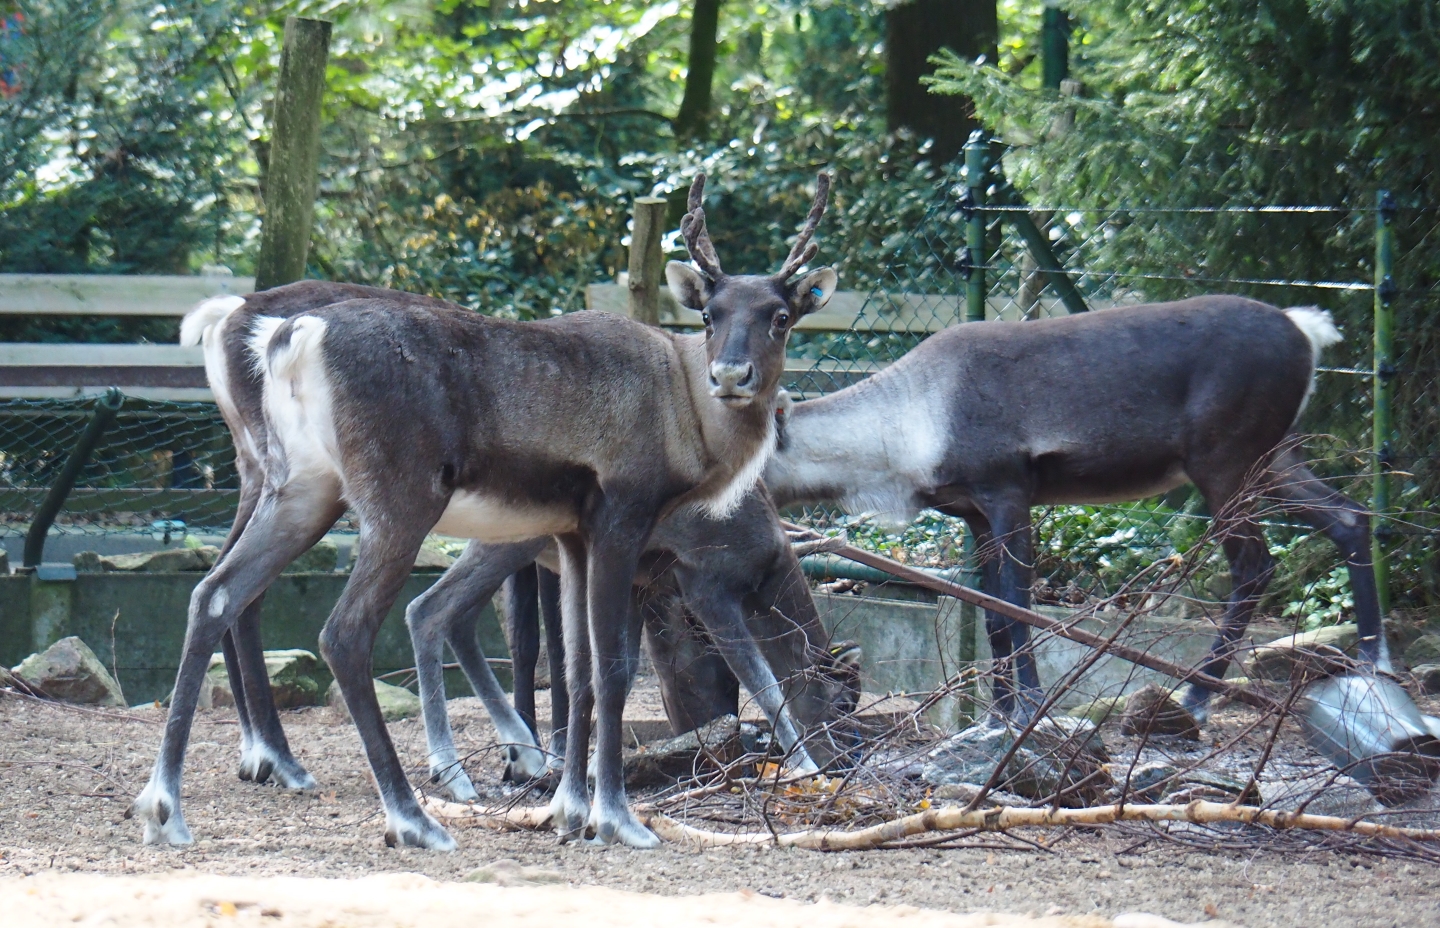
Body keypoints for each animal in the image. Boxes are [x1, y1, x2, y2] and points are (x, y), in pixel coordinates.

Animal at [133, 172, 839, 850]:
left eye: (780, 315)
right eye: (710, 313)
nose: (732, 375)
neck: (683, 408)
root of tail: (293, 336)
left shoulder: (573, 536)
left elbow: (577, 674)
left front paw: (569, 809)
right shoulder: (623, 519)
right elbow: (612, 670)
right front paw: (616, 818)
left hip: (301, 488)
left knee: (217, 594)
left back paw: (168, 807)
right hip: (398, 504)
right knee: (344, 631)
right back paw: (411, 817)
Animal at [762, 296, 1386, 722]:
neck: (908, 427)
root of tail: (1306, 329)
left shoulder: (1008, 492)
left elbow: (1016, 607)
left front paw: (1028, 707)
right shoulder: (974, 513)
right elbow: (991, 617)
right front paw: (997, 714)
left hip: (1226, 461)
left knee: (1254, 565)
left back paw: (1196, 696)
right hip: (1275, 456)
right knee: (1350, 518)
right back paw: (1376, 662)